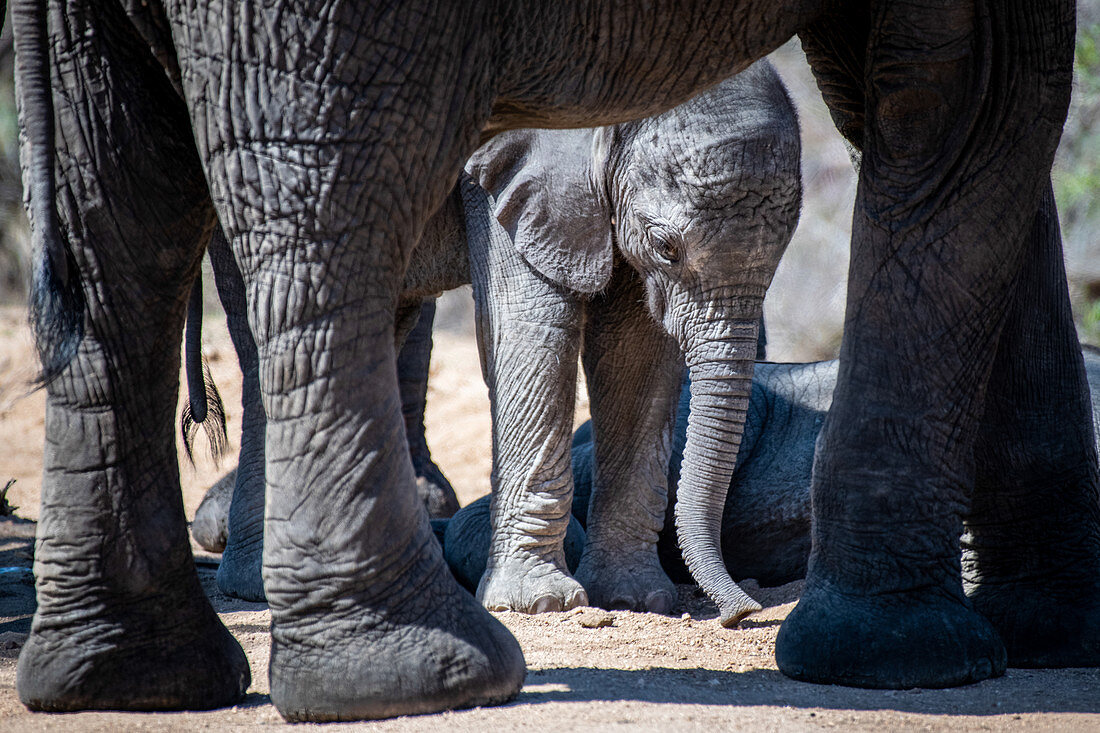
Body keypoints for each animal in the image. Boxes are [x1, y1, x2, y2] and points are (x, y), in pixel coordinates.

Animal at [12, 0, 1095, 726]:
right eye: (668, 248)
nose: (741, 614)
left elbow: (636, 349)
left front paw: (636, 598)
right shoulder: (527, 180)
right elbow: (535, 313)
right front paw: (546, 603)